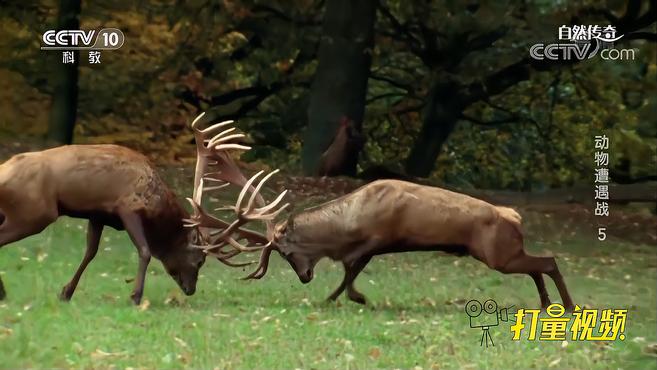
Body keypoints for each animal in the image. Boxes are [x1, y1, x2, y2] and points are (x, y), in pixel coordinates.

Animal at [0, 112, 270, 304]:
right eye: (200, 260)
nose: (191, 290)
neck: (157, 206)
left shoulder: (97, 215)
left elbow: (90, 252)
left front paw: (66, 292)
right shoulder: (127, 207)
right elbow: (145, 250)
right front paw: (135, 296)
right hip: (34, 212)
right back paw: (3, 293)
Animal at [192, 178, 572, 308]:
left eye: (286, 252)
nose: (304, 277)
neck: (349, 225)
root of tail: (514, 217)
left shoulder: (374, 240)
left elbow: (349, 270)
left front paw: (358, 298)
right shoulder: (373, 247)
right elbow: (350, 271)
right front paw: (332, 298)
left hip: (498, 255)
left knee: (549, 261)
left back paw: (567, 306)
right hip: (506, 253)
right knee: (539, 265)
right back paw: (546, 304)